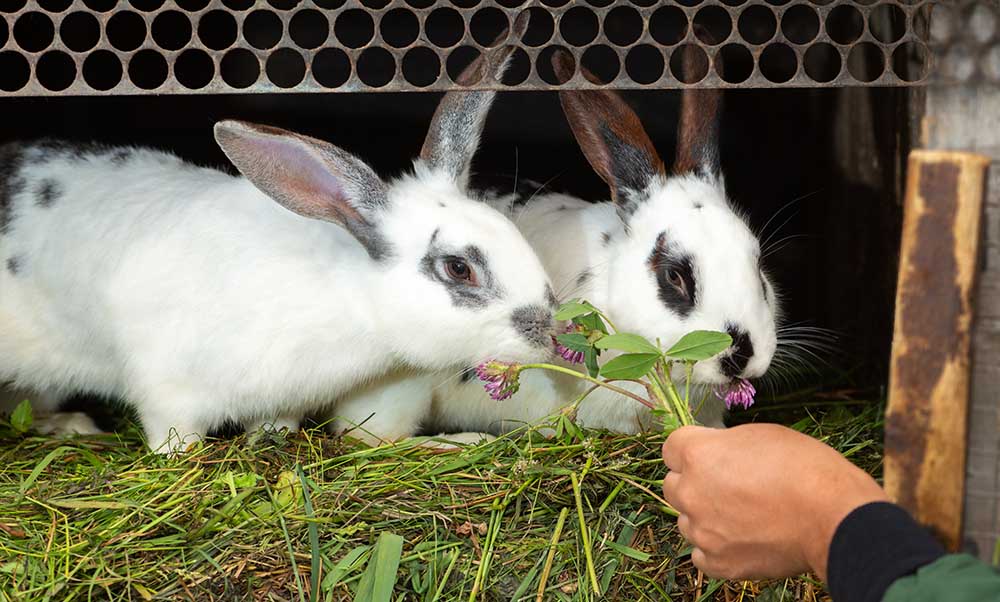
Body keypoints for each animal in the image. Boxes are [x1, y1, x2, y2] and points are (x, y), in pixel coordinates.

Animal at [0, 14, 556, 454]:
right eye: (458, 268)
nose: (551, 333)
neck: (346, 300)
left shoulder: (282, 399)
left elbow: (276, 425)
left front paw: (271, 440)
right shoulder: (166, 387)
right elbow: (172, 435)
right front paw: (180, 461)